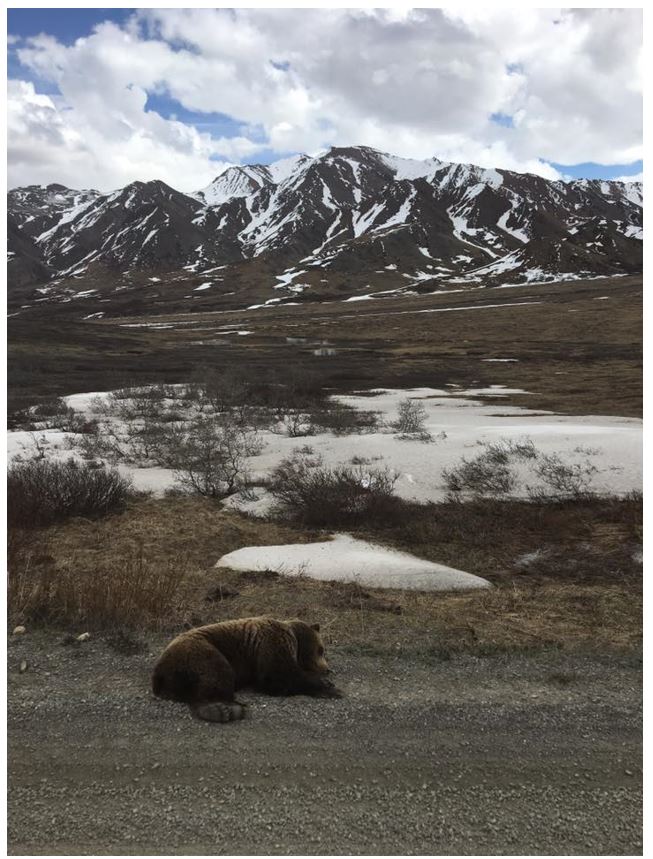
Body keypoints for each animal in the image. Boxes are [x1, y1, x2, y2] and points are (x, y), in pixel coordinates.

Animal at [150, 616, 338, 724]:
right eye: (321, 649)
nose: (327, 669)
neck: (294, 640)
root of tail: (159, 673)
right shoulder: (271, 645)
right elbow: (278, 679)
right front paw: (329, 688)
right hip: (200, 652)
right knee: (217, 674)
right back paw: (222, 710)